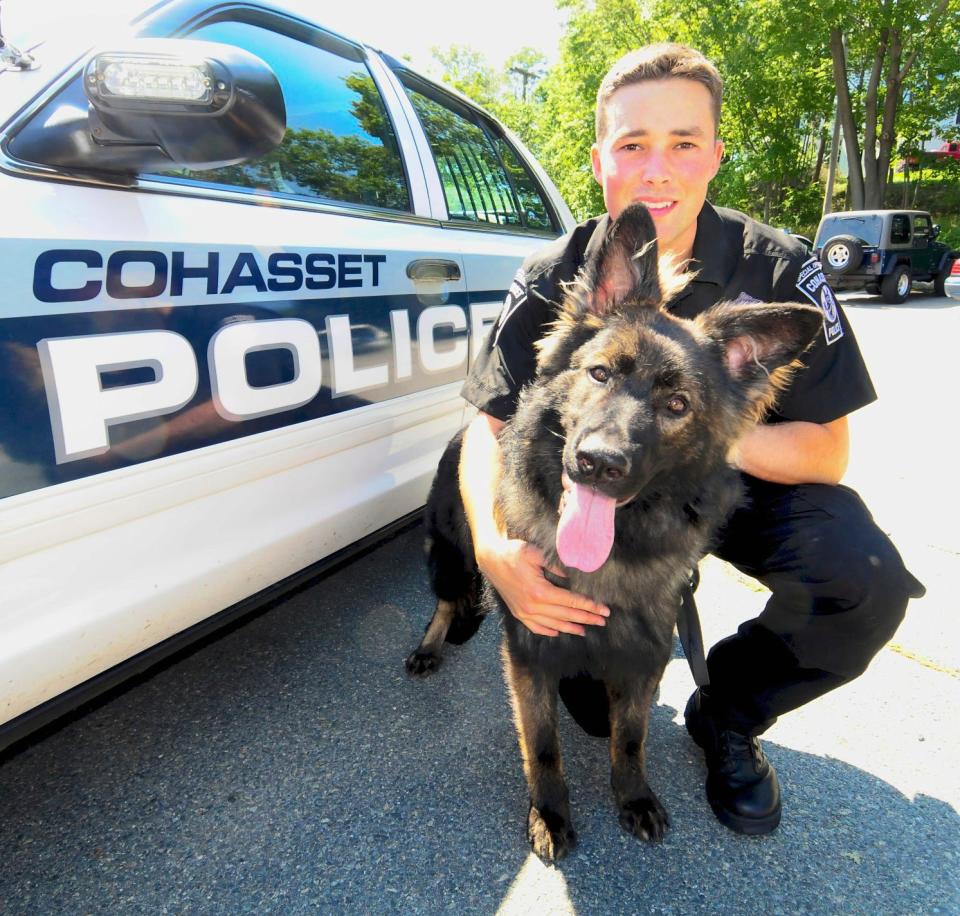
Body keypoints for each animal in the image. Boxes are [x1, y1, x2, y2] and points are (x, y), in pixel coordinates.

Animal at [404, 204, 816, 864]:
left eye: (677, 405)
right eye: (598, 373)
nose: (598, 462)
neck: (611, 556)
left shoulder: (644, 657)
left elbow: (630, 738)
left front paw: (635, 796)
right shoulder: (531, 654)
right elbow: (543, 746)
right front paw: (549, 812)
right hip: (448, 557)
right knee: (445, 600)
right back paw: (431, 643)